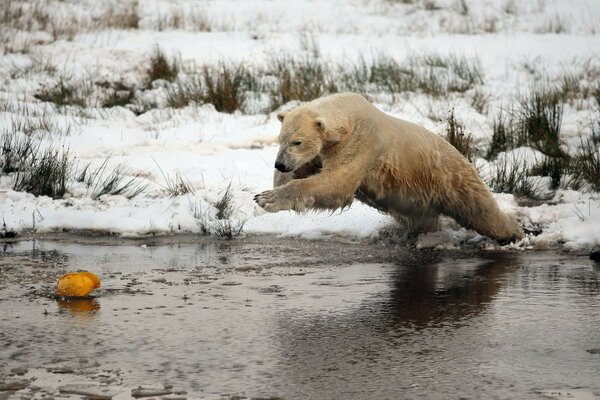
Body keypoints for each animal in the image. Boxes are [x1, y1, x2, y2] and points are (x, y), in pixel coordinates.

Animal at [255, 92, 524, 242]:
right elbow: (307, 169)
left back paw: (514, 233)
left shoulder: (360, 143)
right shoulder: (325, 150)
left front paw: (266, 199)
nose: (280, 164)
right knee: (423, 219)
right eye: (281, 139)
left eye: (297, 141)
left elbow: (337, 183)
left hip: (451, 178)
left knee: (480, 210)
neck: (347, 116)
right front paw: (271, 190)